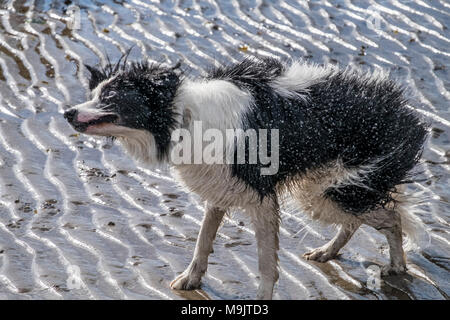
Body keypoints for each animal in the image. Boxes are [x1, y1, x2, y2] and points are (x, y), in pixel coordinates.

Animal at [63, 57, 426, 300]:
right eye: (93, 94)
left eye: (110, 98)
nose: (67, 112)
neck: (184, 117)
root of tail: (406, 110)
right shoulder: (220, 188)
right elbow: (203, 239)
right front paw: (190, 279)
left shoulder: (260, 196)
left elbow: (266, 262)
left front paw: (262, 296)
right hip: (325, 187)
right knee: (358, 219)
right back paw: (326, 253)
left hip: (332, 188)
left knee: (390, 216)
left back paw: (396, 266)